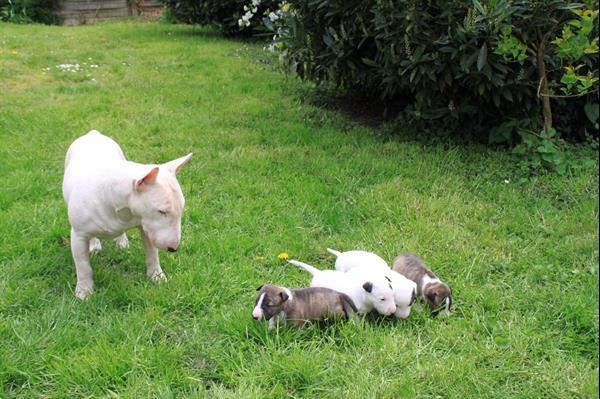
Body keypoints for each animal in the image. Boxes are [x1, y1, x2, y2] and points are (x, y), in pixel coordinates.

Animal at [61, 130, 192, 298]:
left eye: (181, 208)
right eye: (161, 211)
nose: (173, 249)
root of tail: (93, 133)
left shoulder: (146, 226)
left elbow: (152, 253)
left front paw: (157, 277)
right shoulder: (78, 235)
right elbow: (83, 266)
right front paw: (84, 292)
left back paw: (122, 242)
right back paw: (94, 245)